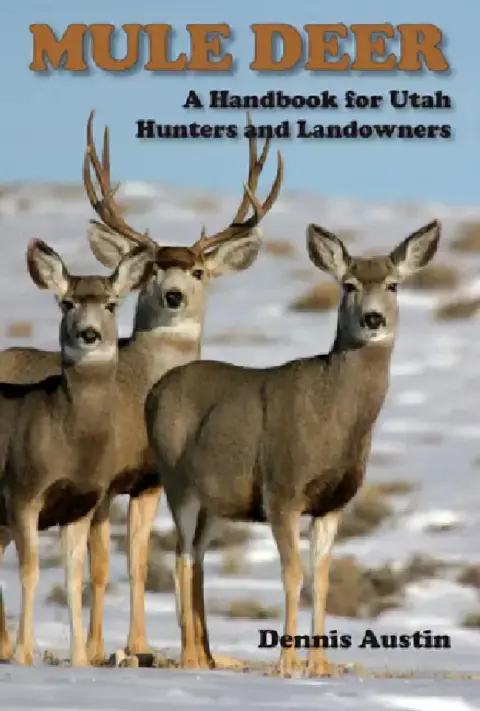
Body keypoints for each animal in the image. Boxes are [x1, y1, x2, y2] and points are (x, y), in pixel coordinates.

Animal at [0, 238, 153, 666]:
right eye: (67, 303)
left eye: (111, 304)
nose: (88, 334)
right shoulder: (23, 491)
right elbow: (31, 571)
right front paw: (25, 655)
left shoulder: (81, 504)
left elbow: (74, 577)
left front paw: (81, 659)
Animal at [144, 218, 441, 676]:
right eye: (349, 284)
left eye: (393, 284)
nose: (373, 318)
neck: (332, 415)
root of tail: (154, 391)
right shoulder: (281, 489)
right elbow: (292, 573)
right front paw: (287, 663)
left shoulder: (333, 502)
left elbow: (321, 579)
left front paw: (320, 665)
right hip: (177, 482)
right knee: (182, 558)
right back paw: (191, 658)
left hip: (216, 503)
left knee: (195, 557)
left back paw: (205, 656)